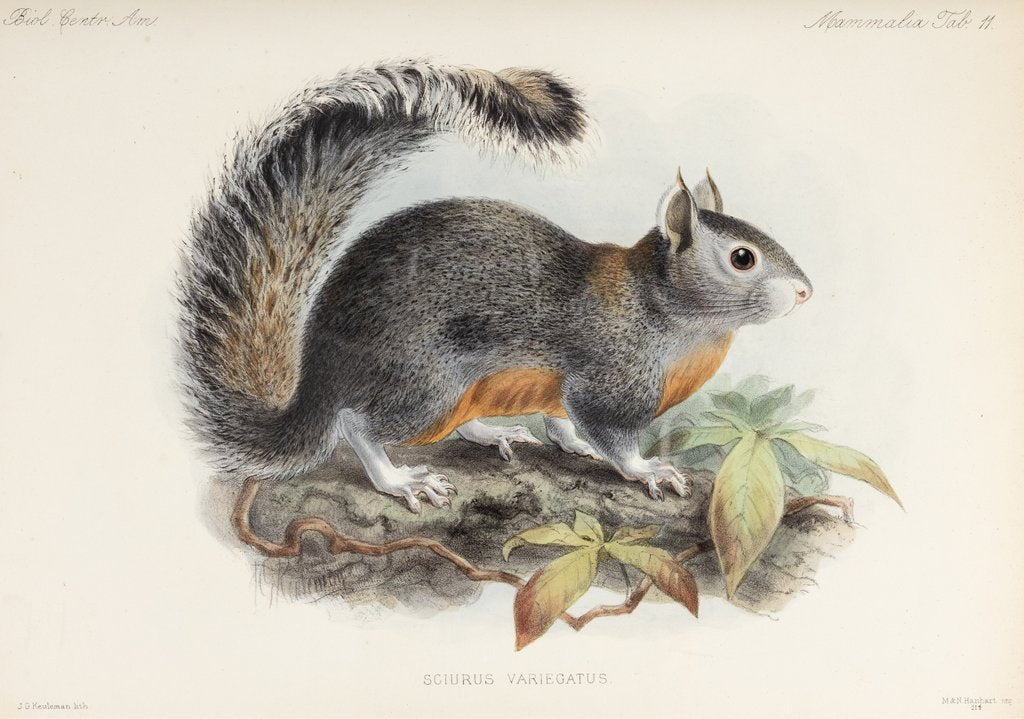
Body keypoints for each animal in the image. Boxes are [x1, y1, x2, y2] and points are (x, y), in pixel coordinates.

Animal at [178, 60, 812, 512]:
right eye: (742, 258)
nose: (806, 292)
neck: (668, 312)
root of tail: (318, 374)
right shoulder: (609, 374)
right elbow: (609, 431)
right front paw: (646, 469)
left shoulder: (562, 389)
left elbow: (564, 423)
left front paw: (573, 445)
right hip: (423, 381)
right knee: (357, 425)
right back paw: (399, 480)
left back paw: (491, 433)